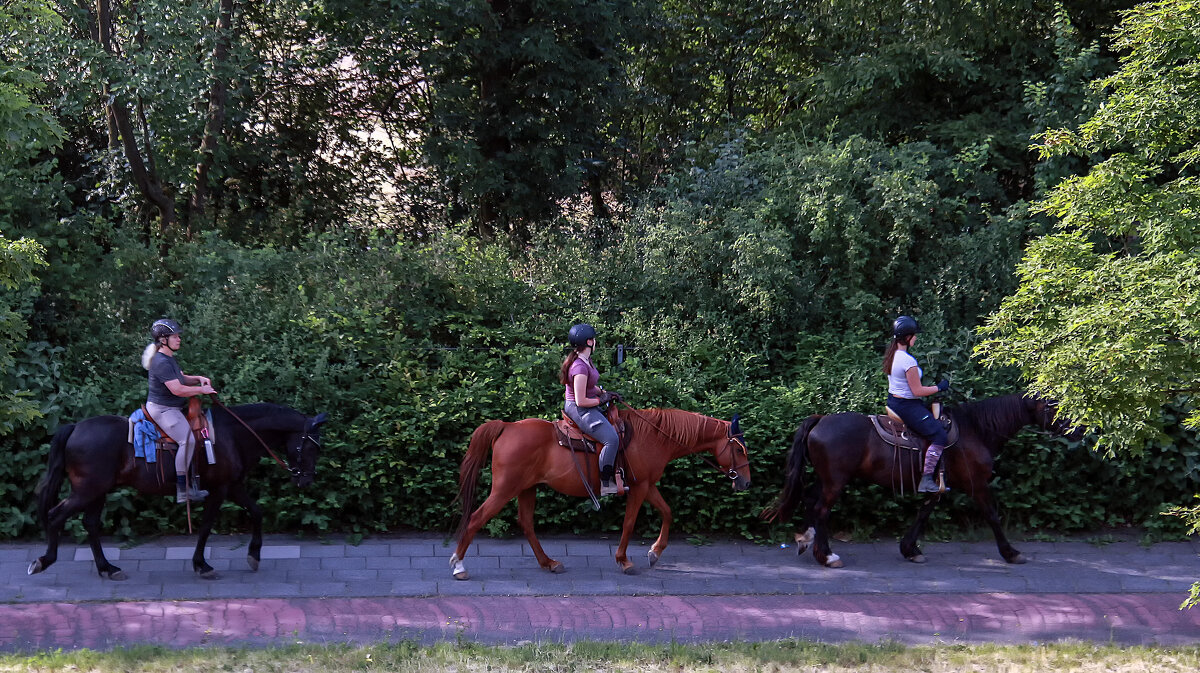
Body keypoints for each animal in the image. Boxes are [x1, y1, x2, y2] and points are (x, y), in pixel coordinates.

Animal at [451, 407, 748, 580]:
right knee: (476, 518)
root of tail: (507, 426)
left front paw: (655, 552)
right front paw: (624, 561)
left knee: (526, 523)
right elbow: (629, 523)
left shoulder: (647, 485)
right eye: (739, 449)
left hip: (527, 488)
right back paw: (459, 566)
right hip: (505, 489)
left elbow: (667, 512)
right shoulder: (639, 488)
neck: (654, 437)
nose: (745, 482)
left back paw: (549, 563)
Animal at [763, 391, 1084, 568]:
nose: (1078, 430)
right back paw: (827, 556)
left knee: (810, 501)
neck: (975, 430)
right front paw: (1011, 552)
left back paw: (807, 541)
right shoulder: (977, 484)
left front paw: (910, 549)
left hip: (827, 478)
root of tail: (820, 419)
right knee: (821, 509)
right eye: (1052, 406)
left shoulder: (938, 484)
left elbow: (923, 513)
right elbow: (992, 516)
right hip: (835, 481)